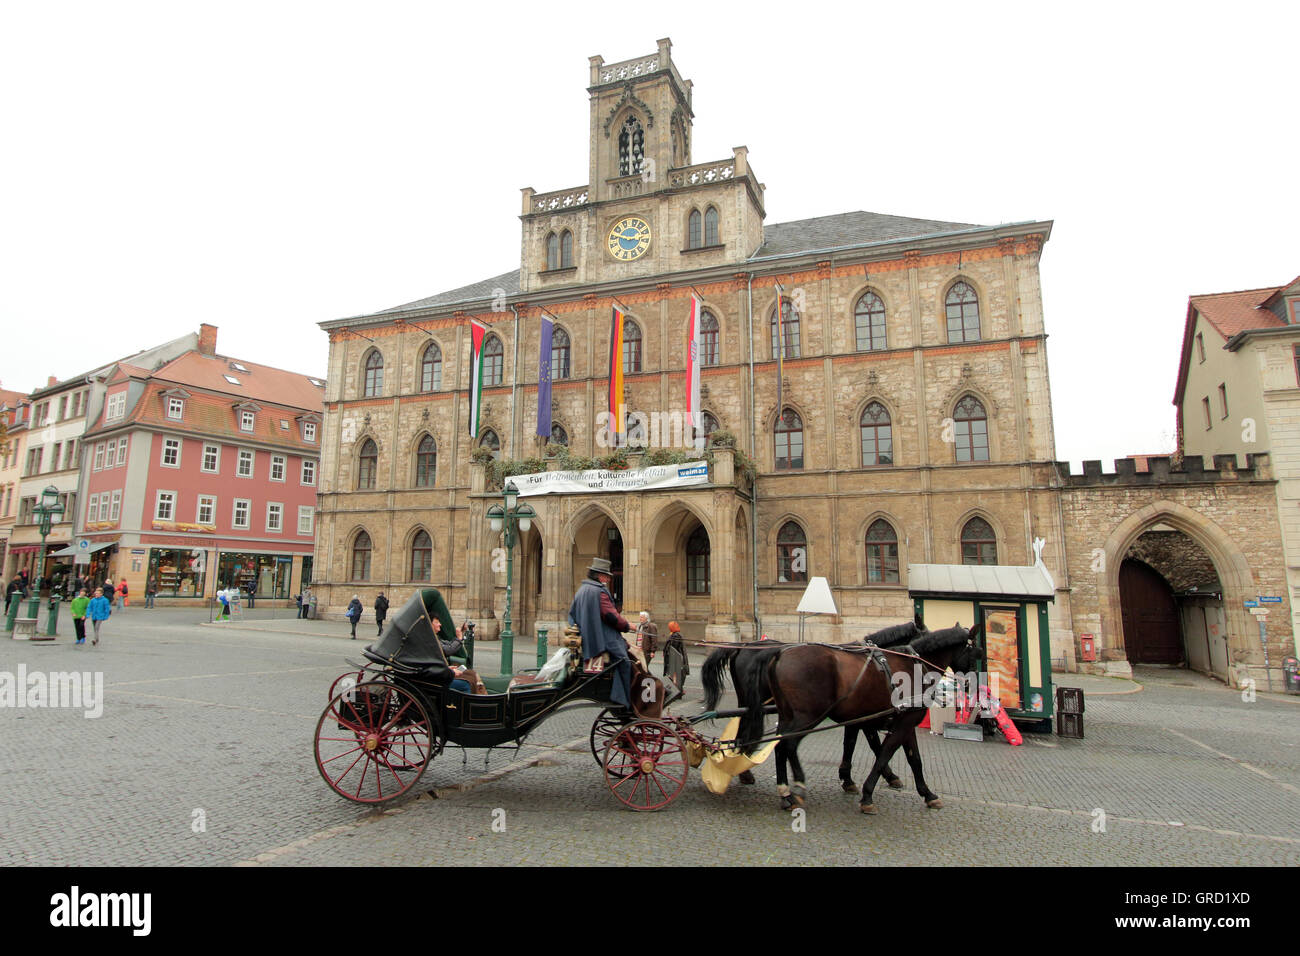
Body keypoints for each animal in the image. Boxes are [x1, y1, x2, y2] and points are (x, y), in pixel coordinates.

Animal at [707, 621, 930, 790]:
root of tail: (741, 647)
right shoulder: (864, 717)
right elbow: (874, 745)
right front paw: (887, 777)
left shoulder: (858, 717)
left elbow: (853, 744)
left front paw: (850, 778)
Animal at [743, 621, 982, 816]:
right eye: (978, 654)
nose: (974, 687)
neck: (913, 666)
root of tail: (779, 654)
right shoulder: (894, 723)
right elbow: (882, 753)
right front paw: (868, 795)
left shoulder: (898, 722)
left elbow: (913, 759)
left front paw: (928, 794)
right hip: (808, 717)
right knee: (789, 745)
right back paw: (797, 786)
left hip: (787, 716)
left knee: (779, 746)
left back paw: (785, 793)